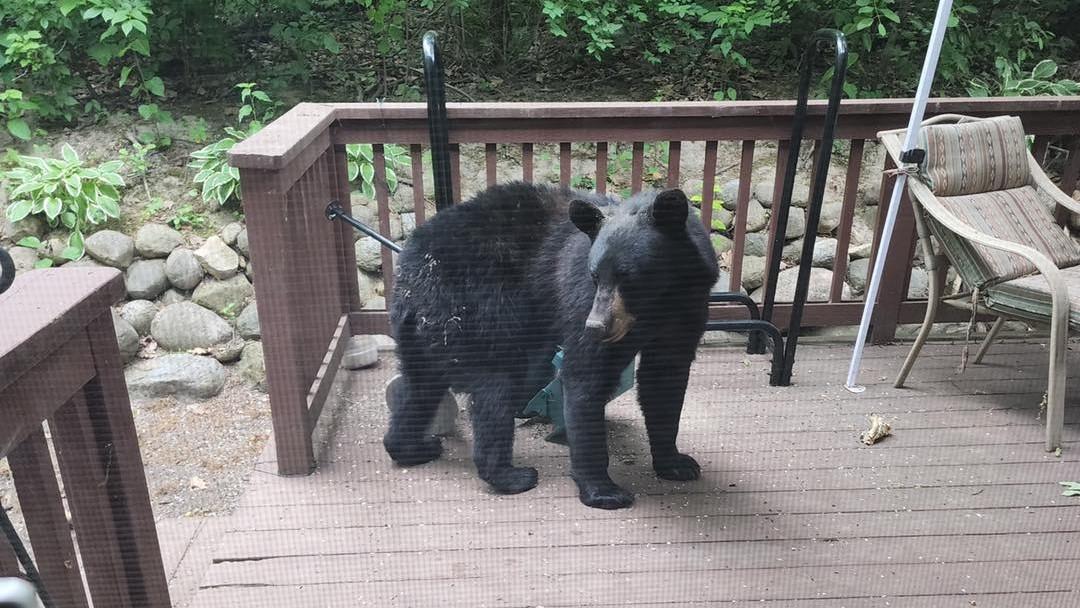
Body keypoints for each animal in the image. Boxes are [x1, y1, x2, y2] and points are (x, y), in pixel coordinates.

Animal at [384, 180, 721, 509]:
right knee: (496, 386)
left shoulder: (688, 307)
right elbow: (585, 376)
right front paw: (603, 490)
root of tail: (411, 270)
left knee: (420, 388)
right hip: (473, 309)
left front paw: (675, 463)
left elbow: (665, 378)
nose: (596, 325)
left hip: (425, 333)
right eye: (594, 276)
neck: (658, 304)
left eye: (628, 276)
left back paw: (413, 447)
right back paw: (511, 475)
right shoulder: (581, 299)